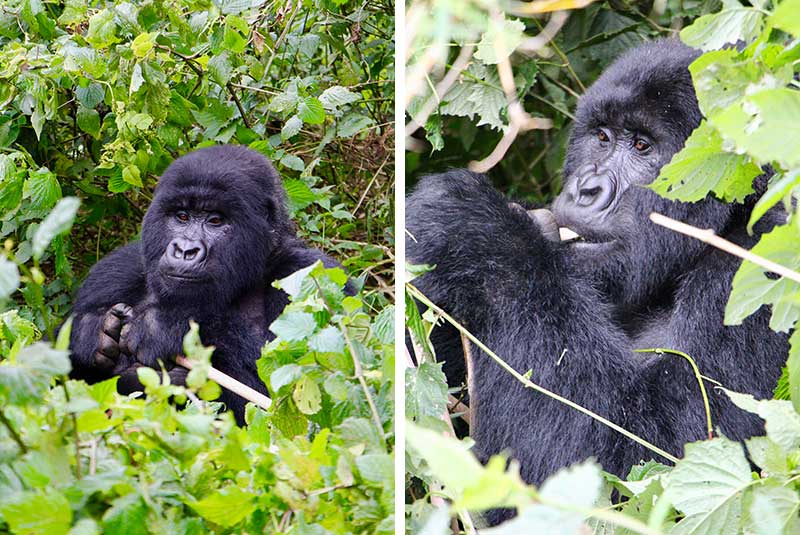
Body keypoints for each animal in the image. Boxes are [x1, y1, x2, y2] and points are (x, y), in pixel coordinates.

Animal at [70, 144, 342, 426]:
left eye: (215, 221)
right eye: (182, 216)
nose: (185, 250)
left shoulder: (308, 272)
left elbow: (285, 405)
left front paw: (161, 328)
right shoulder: (113, 273)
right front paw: (89, 333)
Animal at [406, 40, 788, 510]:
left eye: (642, 146)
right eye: (602, 137)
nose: (586, 190)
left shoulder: (759, 270)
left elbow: (649, 459)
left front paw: (476, 233)